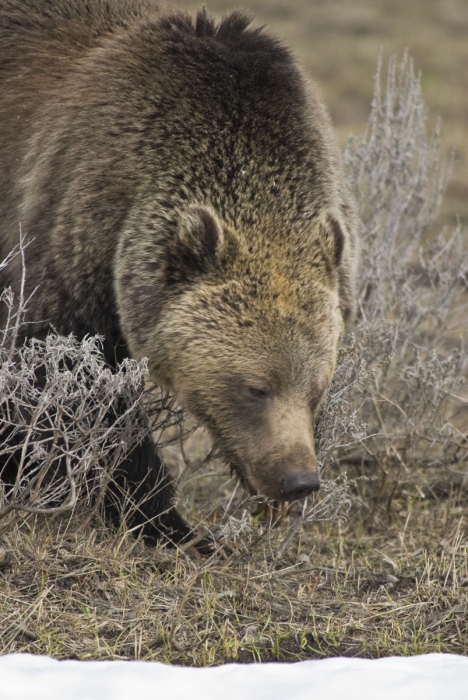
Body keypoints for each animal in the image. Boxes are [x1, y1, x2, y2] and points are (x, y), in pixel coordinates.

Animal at [0, 0, 358, 548]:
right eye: (256, 387)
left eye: (317, 388)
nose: (299, 480)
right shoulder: (73, 226)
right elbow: (72, 381)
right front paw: (165, 521)